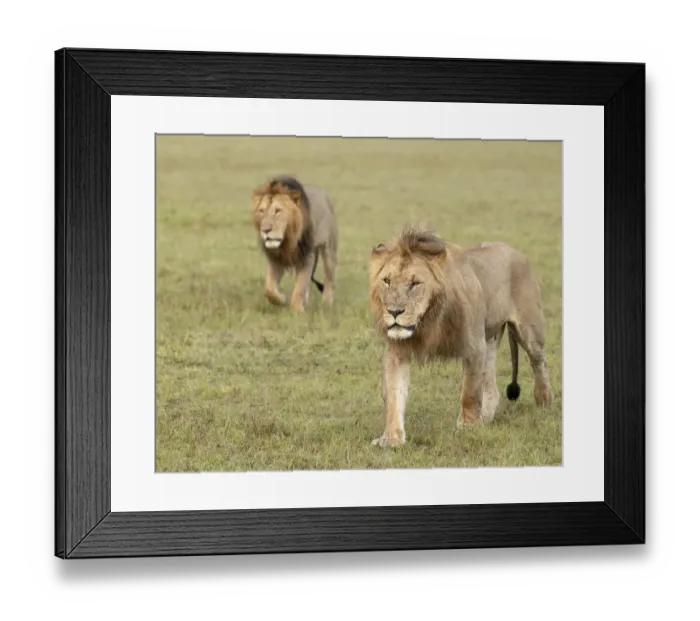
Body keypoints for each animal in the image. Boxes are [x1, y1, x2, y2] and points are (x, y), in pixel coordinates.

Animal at [251, 176, 338, 312]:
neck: (287, 241)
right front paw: (282, 300)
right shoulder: (276, 260)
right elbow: (269, 289)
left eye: (278, 211)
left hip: (329, 251)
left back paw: (327, 304)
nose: (265, 230)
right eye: (261, 211)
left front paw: (297, 309)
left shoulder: (306, 257)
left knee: (329, 280)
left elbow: (299, 288)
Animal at [368, 226, 554, 447]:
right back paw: (485, 419)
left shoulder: (474, 346)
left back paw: (544, 401)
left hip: (529, 331)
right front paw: (391, 438)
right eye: (387, 281)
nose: (394, 311)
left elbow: (470, 392)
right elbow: (394, 396)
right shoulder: (397, 352)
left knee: (539, 363)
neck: (429, 321)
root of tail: (515, 251)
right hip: (490, 339)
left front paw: (467, 426)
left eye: (414, 283)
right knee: (492, 389)